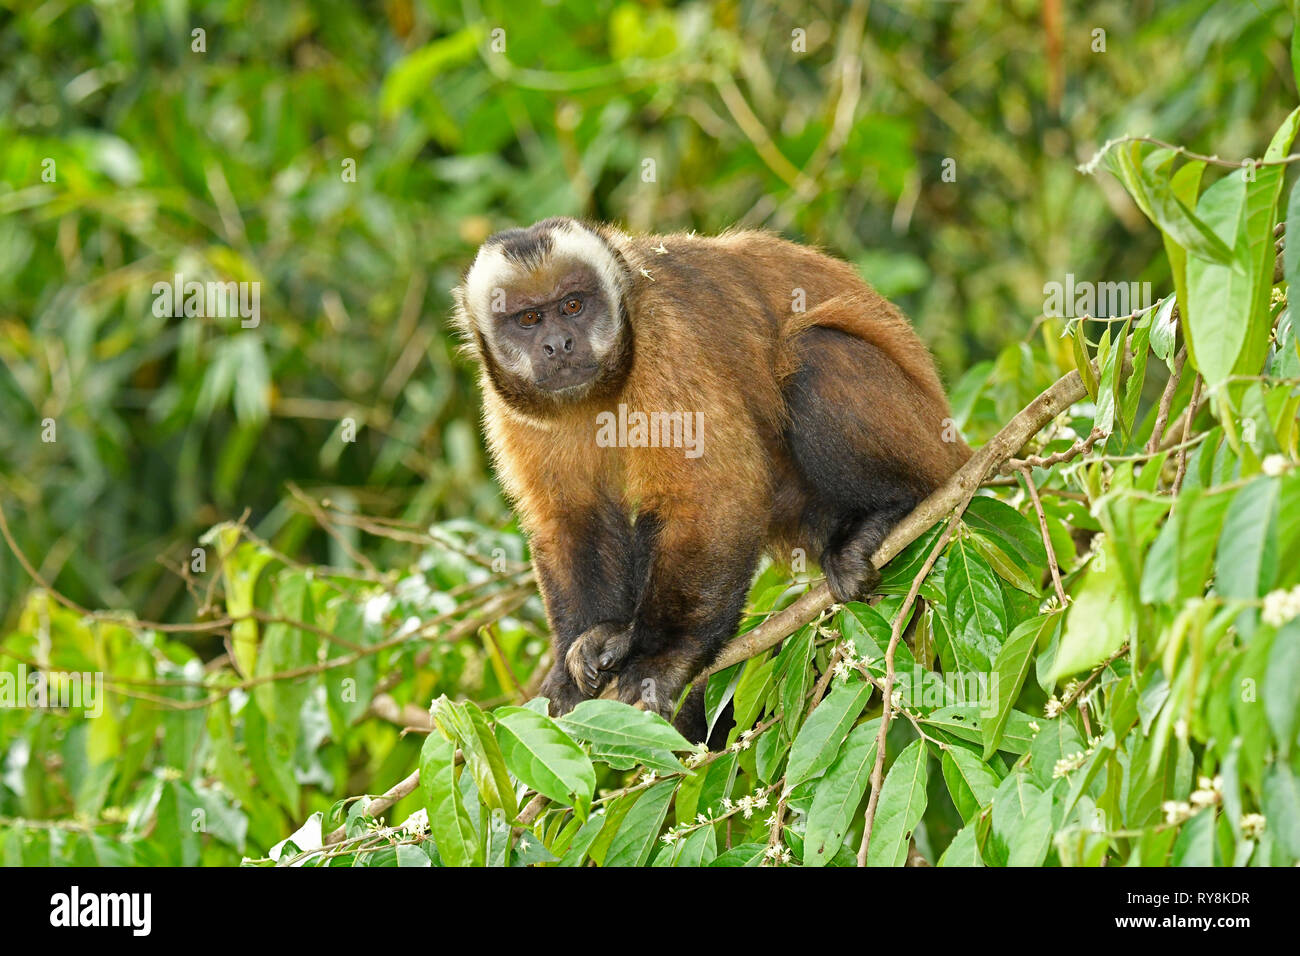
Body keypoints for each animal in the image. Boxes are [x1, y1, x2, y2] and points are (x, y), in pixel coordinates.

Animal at [452, 217, 972, 738]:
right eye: (528, 319)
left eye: (573, 305)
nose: (558, 344)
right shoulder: (509, 409)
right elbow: (572, 523)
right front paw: (571, 668)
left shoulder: (666, 340)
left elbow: (715, 496)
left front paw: (664, 657)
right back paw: (614, 638)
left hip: (928, 445)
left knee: (811, 354)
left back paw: (886, 513)